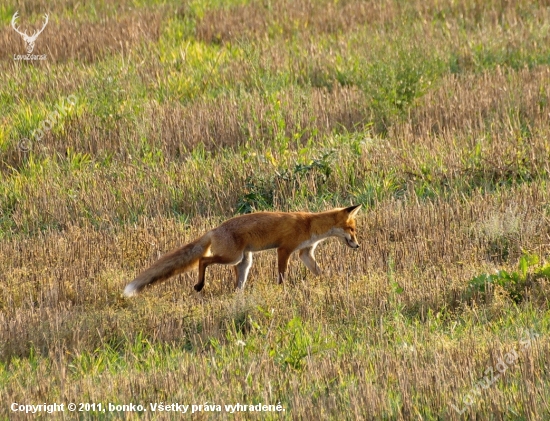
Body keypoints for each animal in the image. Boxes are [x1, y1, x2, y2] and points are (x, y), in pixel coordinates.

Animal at [124, 204, 362, 296]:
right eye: (352, 229)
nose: (358, 245)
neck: (310, 225)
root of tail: (214, 229)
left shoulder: (305, 252)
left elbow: (318, 270)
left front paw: (328, 282)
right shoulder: (284, 249)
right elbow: (282, 274)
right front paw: (283, 290)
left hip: (244, 262)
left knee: (236, 283)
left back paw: (238, 295)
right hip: (232, 256)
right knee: (203, 260)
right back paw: (200, 285)